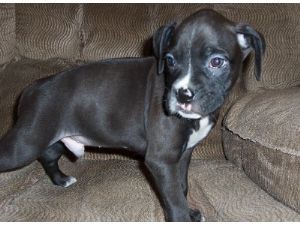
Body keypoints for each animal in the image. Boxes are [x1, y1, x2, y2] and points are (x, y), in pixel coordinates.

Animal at [0, 9, 264, 221]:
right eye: (169, 60)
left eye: (217, 62)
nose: (183, 95)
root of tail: (33, 87)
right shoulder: (162, 160)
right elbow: (175, 200)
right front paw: (182, 216)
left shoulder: (182, 156)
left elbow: (181, 187)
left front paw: (189, 212)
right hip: (26, 143)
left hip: (53, 138)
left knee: (48, 156)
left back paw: (62, 180)